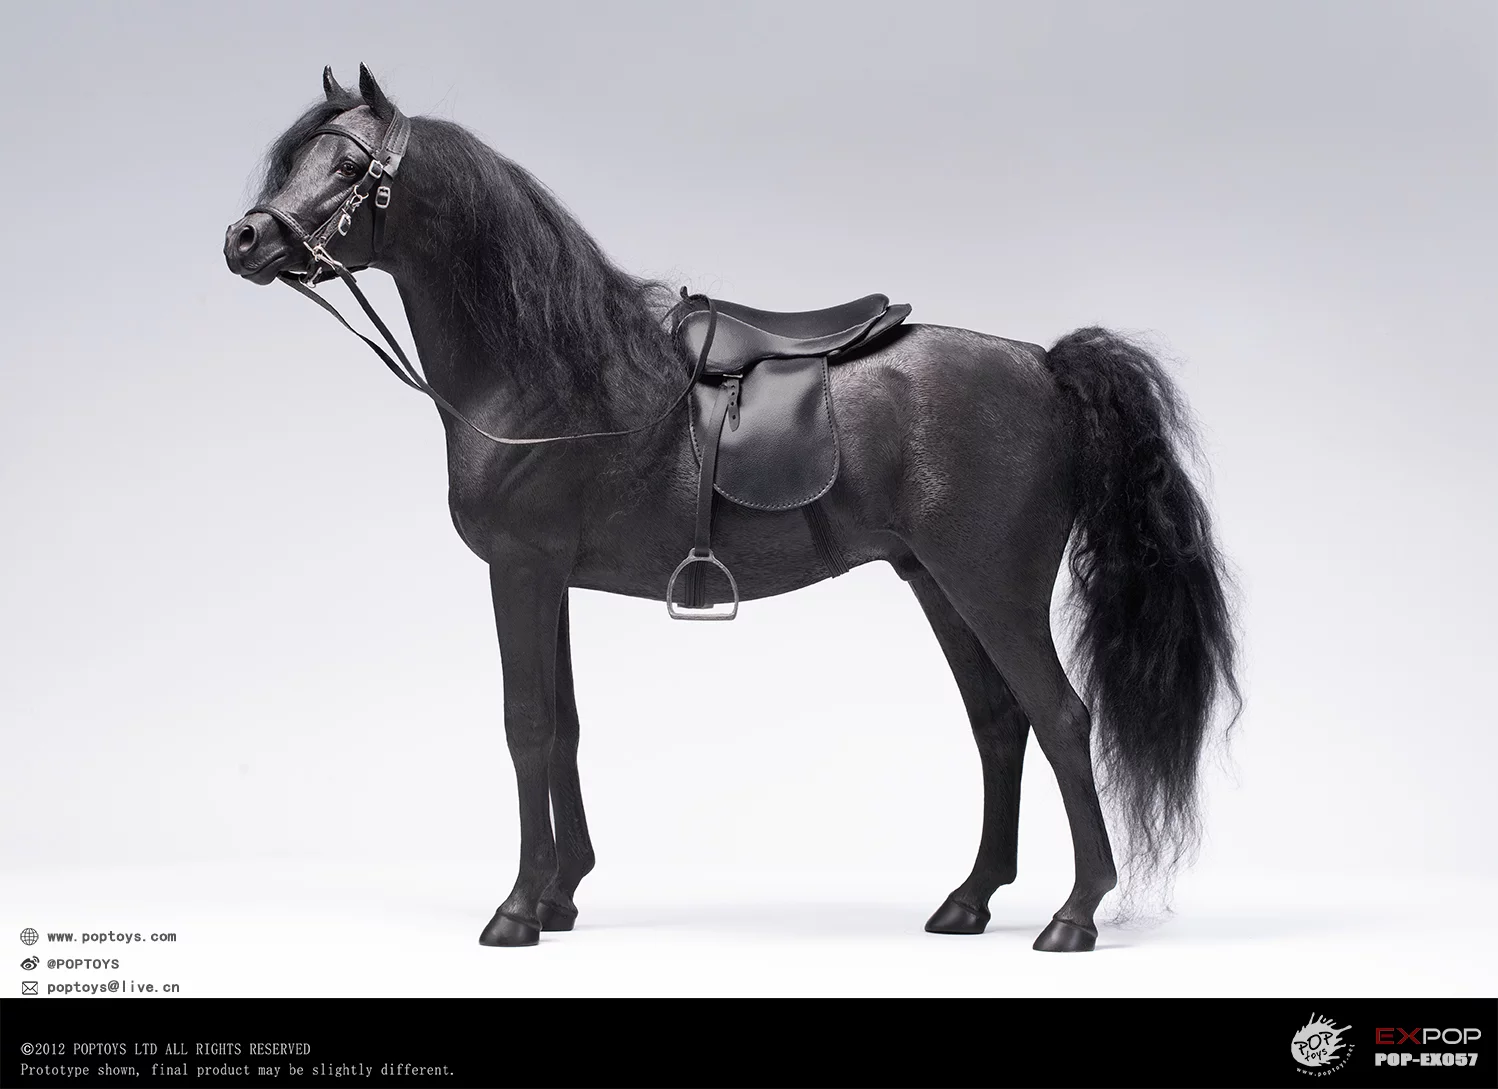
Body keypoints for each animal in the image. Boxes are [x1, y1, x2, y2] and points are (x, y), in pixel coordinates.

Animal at [223, 65, 1239, 951]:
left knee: (1061, 719)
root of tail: (1044, 363)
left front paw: (515, 908)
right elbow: (565, 726)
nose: (244, 240)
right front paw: (561, 893)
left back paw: (1075, 913)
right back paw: (970, 898)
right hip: (939, 583)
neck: (548, 374)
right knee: (999, 723)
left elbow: (526, 726)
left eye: (349, 168)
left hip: (992, 588)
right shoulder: (550, 580)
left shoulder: (520, 570)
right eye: (293, 158)